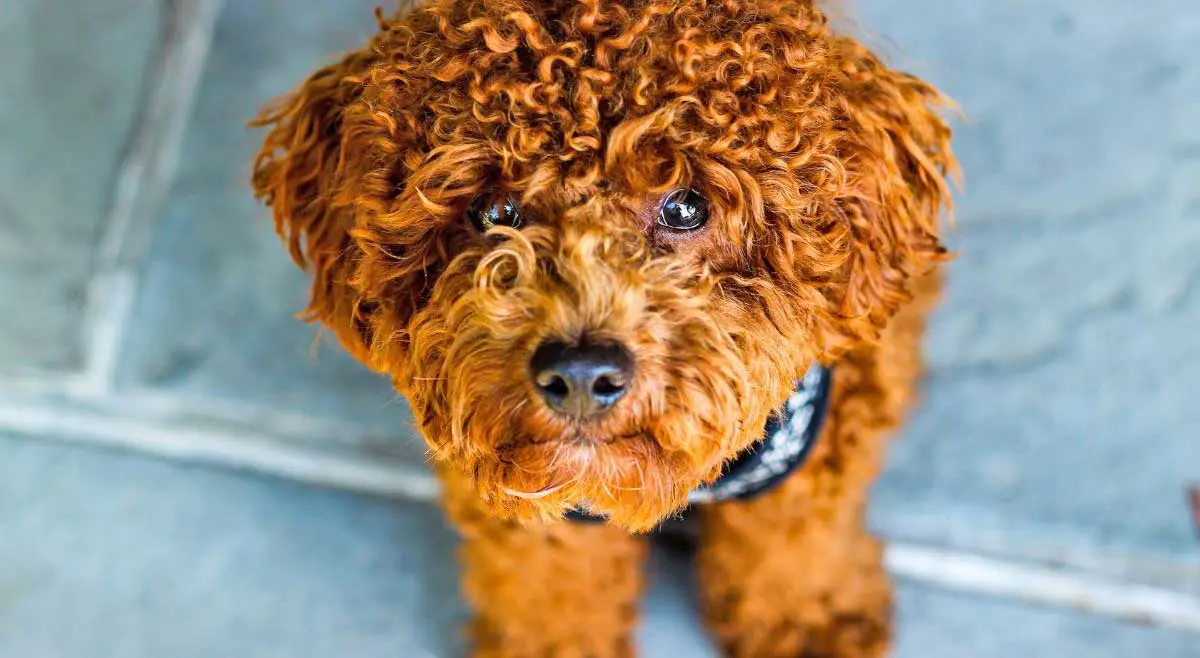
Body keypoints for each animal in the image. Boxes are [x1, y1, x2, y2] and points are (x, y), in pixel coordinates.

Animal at [250, 2, 955, 653]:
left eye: (686, 206)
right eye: (494, 212)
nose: (581, 374)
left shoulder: (812, 464)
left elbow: (793, 548)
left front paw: (811, 623)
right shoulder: (528, 501)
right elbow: (552, 587)